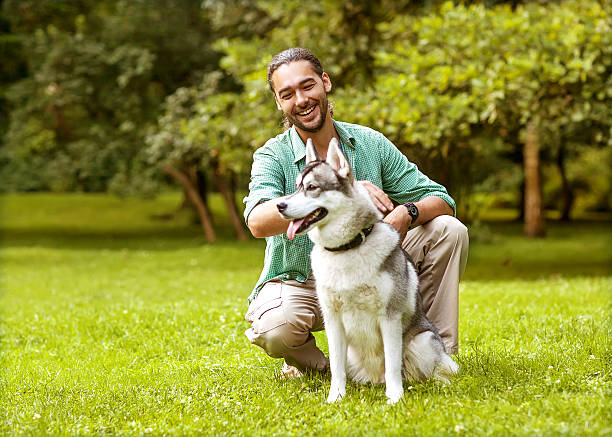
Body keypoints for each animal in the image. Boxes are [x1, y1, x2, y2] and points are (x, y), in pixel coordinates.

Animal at [274, 138, 456, 404]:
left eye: (312, 187)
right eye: (296, 187)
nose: (279, 205)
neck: (345, 249)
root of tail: (374, 379)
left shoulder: (389, 317)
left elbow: (392, 365)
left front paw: (395, 398)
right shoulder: (333, 320)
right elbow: (336, 368)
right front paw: (335, 397)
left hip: (423, 341)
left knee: (432, 370)